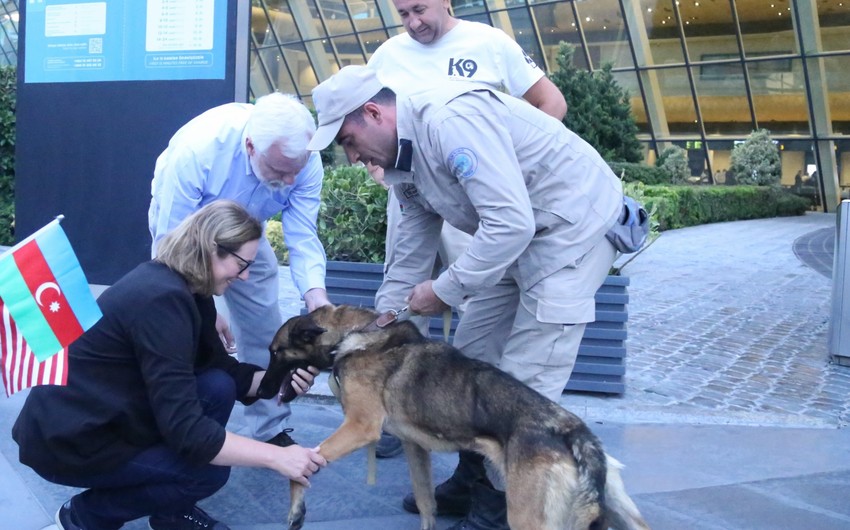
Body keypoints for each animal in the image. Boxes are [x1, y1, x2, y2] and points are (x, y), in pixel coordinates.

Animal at [255, 304, 644, 528]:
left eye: (275, 353)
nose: (258, 392)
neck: (357, 332)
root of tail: (571, 429)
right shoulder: (415, 448)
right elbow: (427, 504)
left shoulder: (359, 428)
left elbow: (303, 468)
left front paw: (296, 511)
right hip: (621, 513)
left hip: (527, 516)